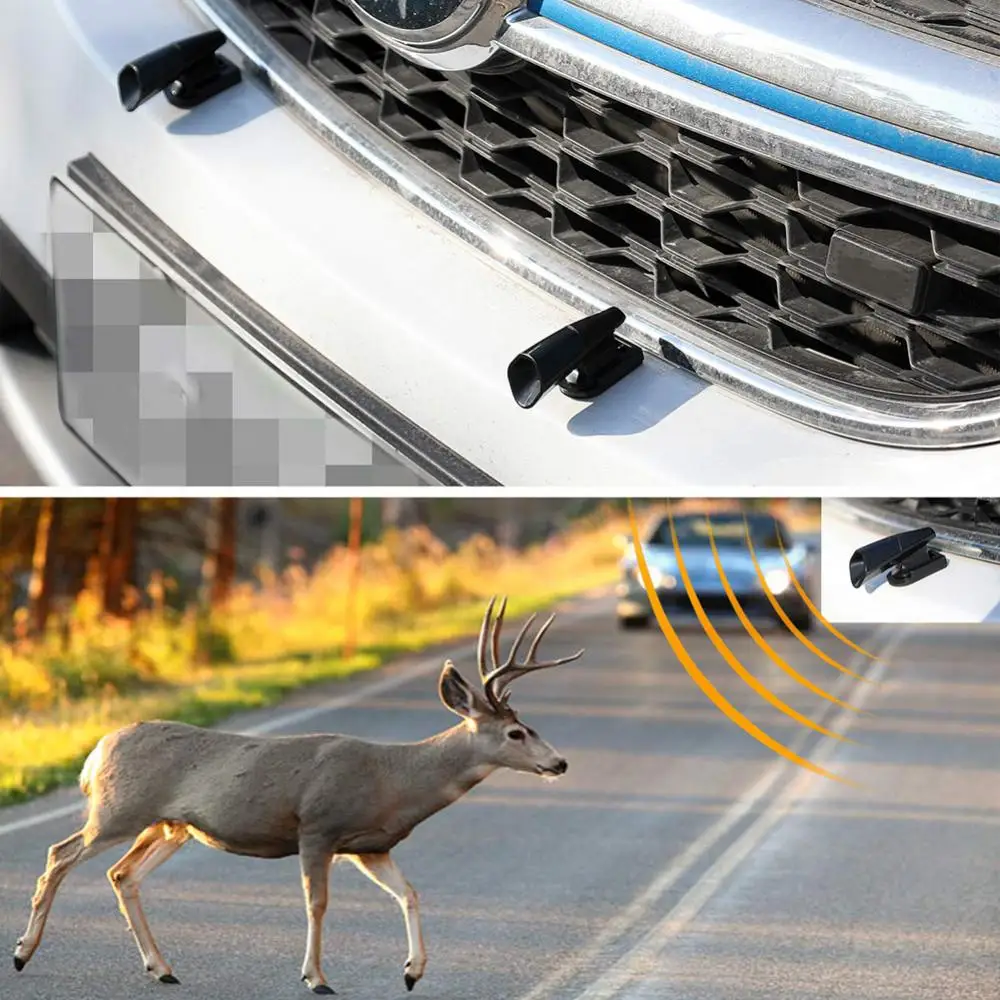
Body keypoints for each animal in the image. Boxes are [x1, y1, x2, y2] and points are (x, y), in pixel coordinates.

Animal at [12, 596, 583, 994]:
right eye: (516, 733)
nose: (559, 763)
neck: (395, 779)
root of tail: (95, 753)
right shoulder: (318, 827)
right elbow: (317, 903)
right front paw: (317, 977)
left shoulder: (372, 846)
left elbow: (410, 893)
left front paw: (412, 972)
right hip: (118, 809)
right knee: (60, 854)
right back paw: (22, 953)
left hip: (170, 825)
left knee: (122, 874)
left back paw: (162, 968)